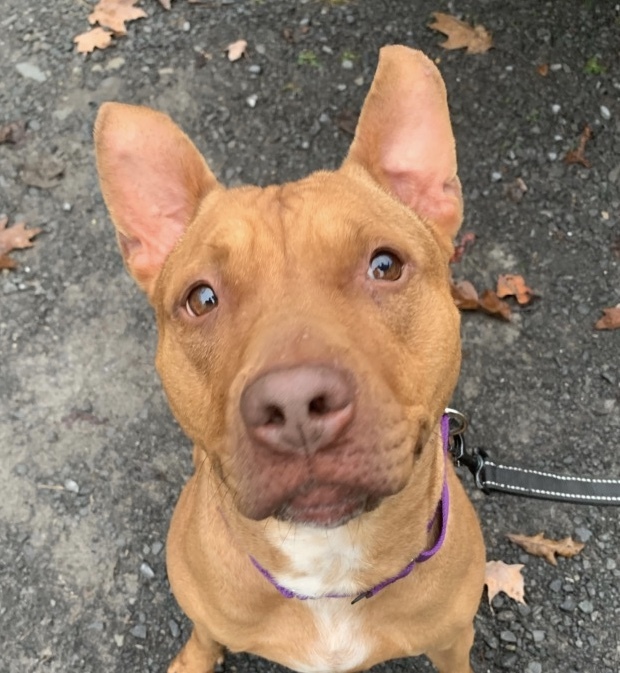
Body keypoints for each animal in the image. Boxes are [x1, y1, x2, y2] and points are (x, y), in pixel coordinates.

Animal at [94, 46, 486, 672]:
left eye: (385, 265)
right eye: (201, 299)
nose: (296, 404)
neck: (328, 574)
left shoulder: (452, 639)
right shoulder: (207, 608)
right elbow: (205, 633)